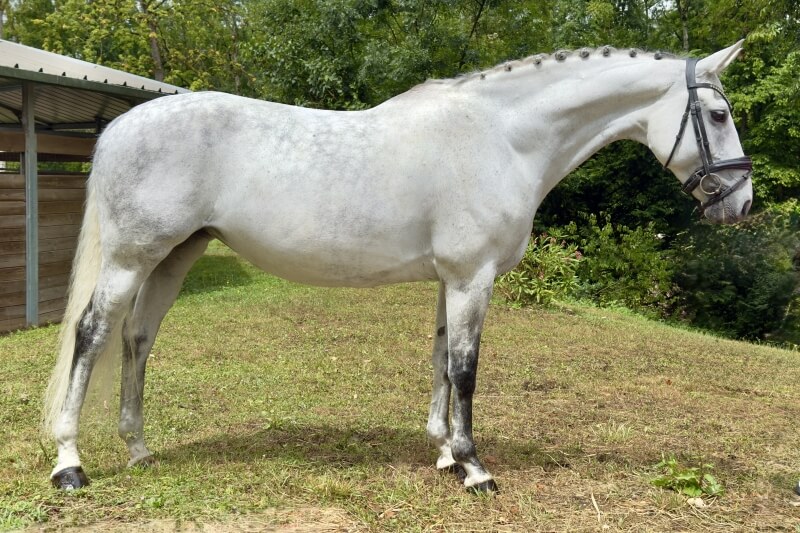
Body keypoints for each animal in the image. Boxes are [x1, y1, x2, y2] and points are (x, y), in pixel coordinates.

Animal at [44, 41, 753, 493]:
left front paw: (442, 454)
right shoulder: (471, 277)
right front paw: (473, 468)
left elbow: (440, 359)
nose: (741, 203)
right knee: (92, 336)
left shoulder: (452, 280)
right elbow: (465, 368)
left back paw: (139, 450)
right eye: (718, 115)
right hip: (131, 259)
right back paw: (70, 464)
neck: (501, 137)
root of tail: (123, 125)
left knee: (138, 340)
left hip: (175, 257)